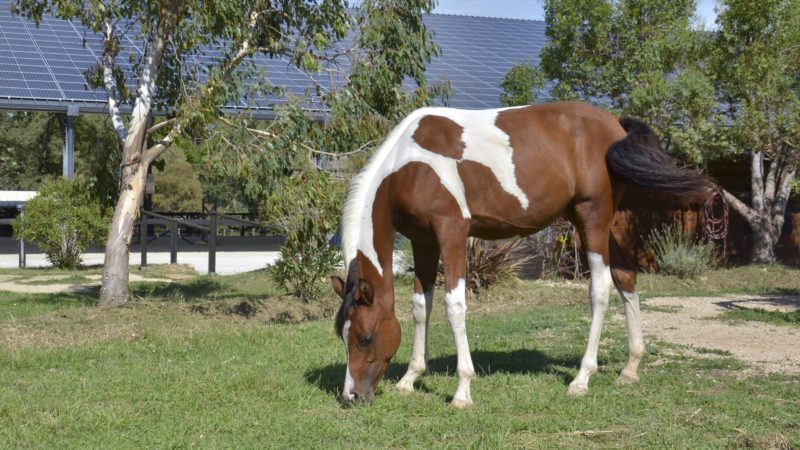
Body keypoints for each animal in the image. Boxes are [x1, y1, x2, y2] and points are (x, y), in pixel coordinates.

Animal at [332, 101, 712, 408]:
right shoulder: (423, 241)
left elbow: (454, 306)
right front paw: (410, 378)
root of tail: (614, 123)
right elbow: (420, 307)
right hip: (595, 222)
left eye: (365, 337)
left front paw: (462, 391)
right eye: (341, 336)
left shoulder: (452, 233)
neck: (410, 166)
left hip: (593, 216)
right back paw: (630, 369)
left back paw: (582, 379)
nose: (351, 397)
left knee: (601, 289)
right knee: (626, 277)